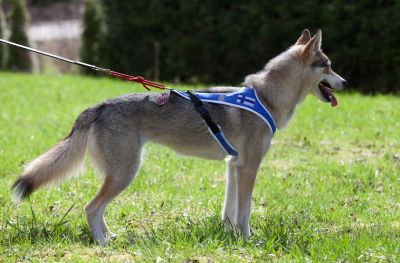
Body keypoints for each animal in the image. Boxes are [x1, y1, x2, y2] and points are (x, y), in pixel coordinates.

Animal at [10, 29, 346, 246]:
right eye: (329, 66)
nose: (345, 82)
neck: (265, 97)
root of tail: (97, 107)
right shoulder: (249, 167)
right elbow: (246, 211)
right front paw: (248, 240)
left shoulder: (233, 166)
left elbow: (229, 211)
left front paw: (229, 236)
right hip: (125, 173)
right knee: (90, 207)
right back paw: (102, 243)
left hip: (119, 174)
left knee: (98, 208)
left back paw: (110, 235)